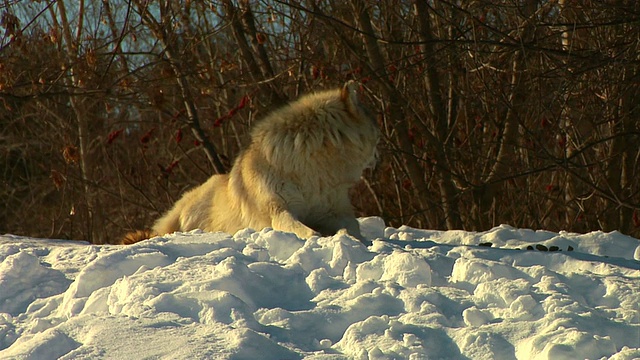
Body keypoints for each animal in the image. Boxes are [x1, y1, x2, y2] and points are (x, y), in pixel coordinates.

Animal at [119, 81, 380, 245]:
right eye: (376, 129)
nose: (380, 154)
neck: (313, 170)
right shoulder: (279, 210)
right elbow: (306, 231)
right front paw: (322, 238)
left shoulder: (335, 211)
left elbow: (352, 227)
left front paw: (356, 240)